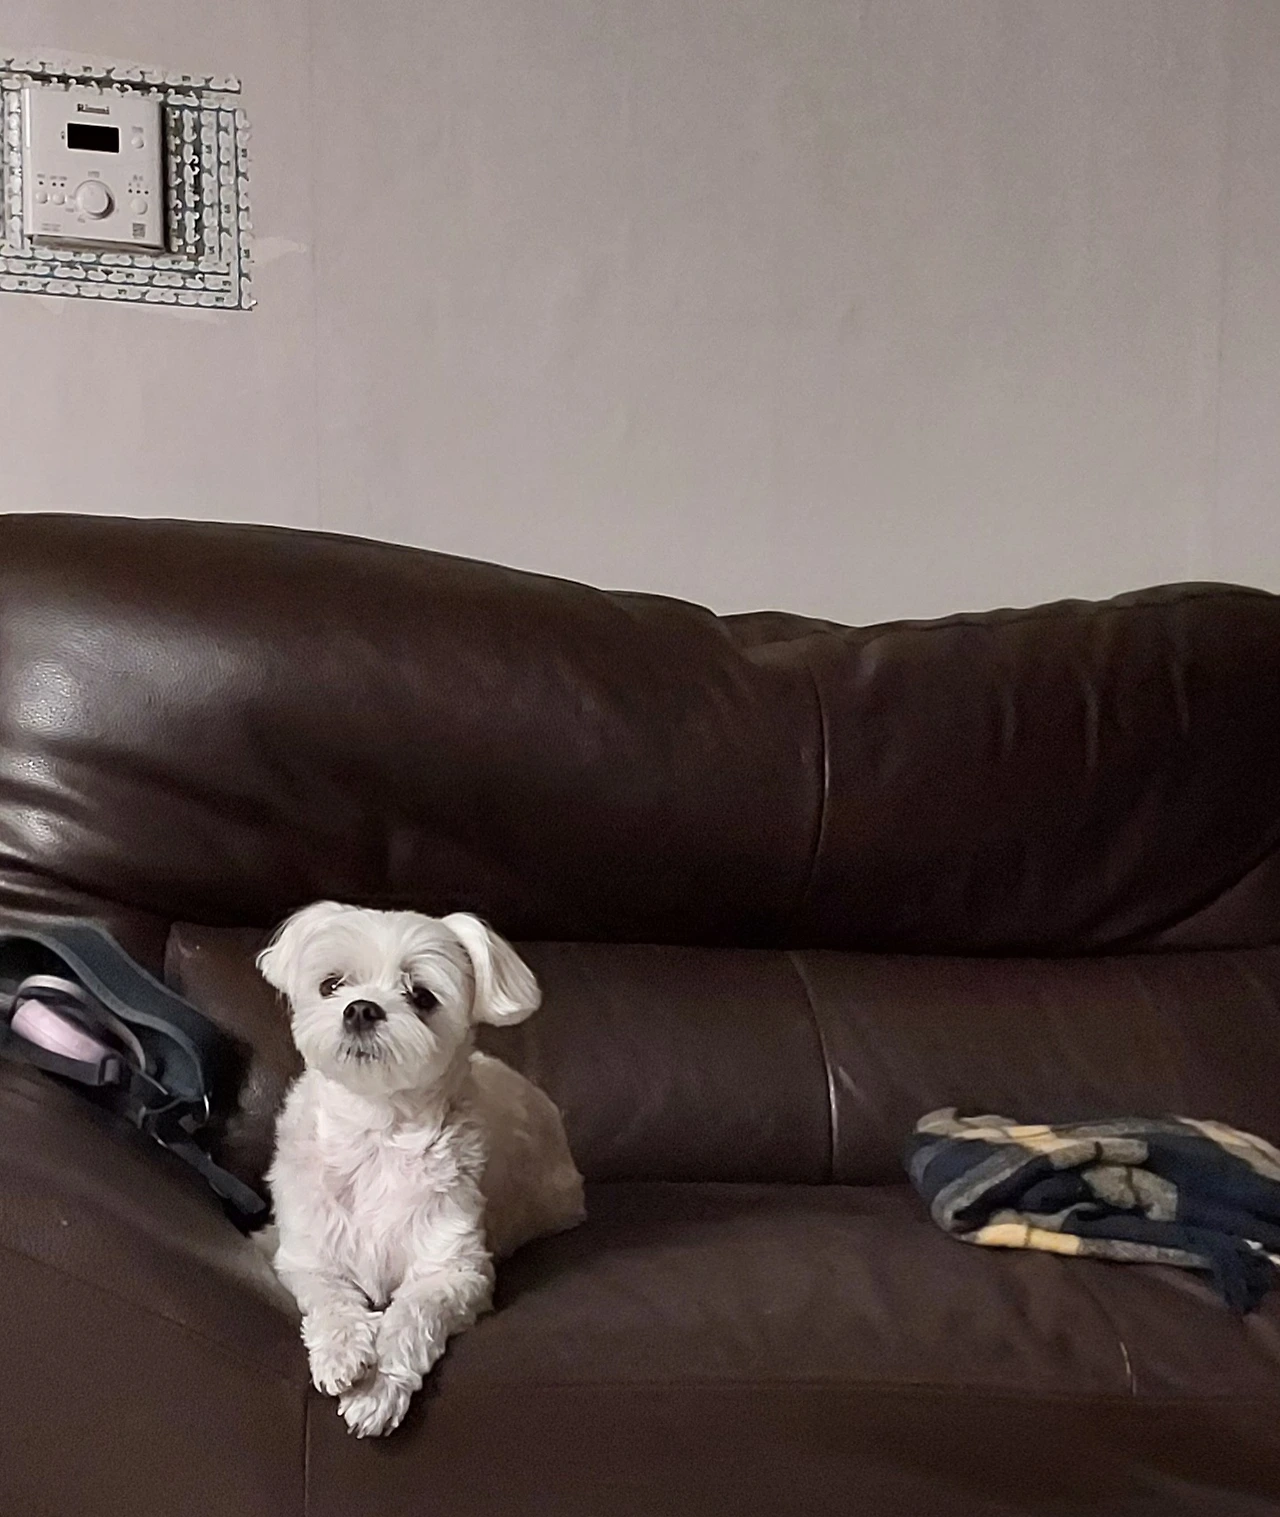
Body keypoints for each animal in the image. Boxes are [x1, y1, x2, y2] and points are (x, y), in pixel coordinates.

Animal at [259, 901, 585, 1437]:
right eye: (331, 984)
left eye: (423, 996)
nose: (361, 1008)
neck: (376, 1131)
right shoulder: (308, 1257)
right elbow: (330, 1297)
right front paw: (342, 1354)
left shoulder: (456, 1271)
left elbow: (413, 1313)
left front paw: (377, 1391)